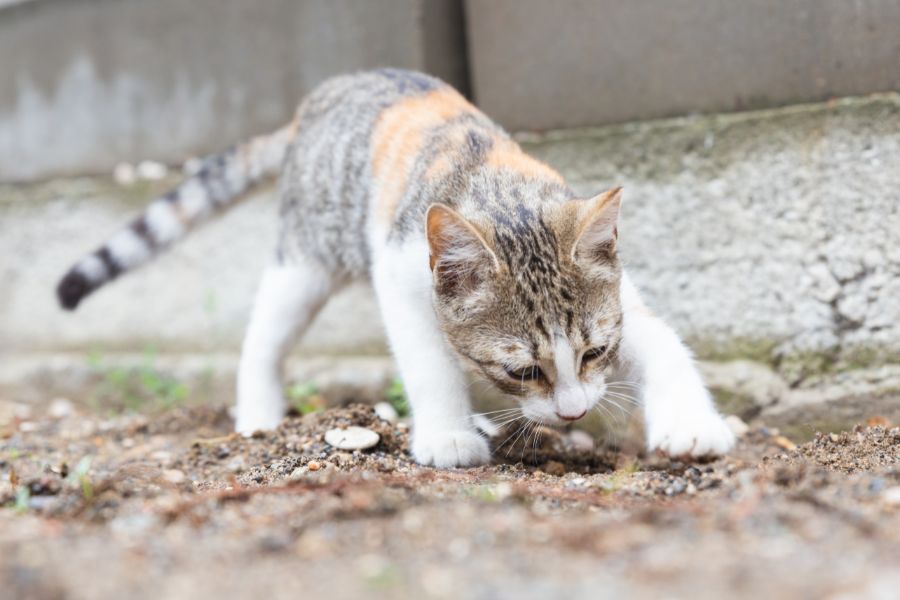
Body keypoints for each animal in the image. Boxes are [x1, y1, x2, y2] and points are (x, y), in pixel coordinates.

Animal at [56, 67, 736, 468]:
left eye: (595, 352)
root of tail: (313, 105)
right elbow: (430, 361)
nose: (573, 414)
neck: (501, 192)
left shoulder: (622, 299)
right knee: (263, 338)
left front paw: (692, 424)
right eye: (522, 370)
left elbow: (663, 342)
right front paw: (447, 436)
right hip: (306, 257)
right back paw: (257, 416)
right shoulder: (402, 272)